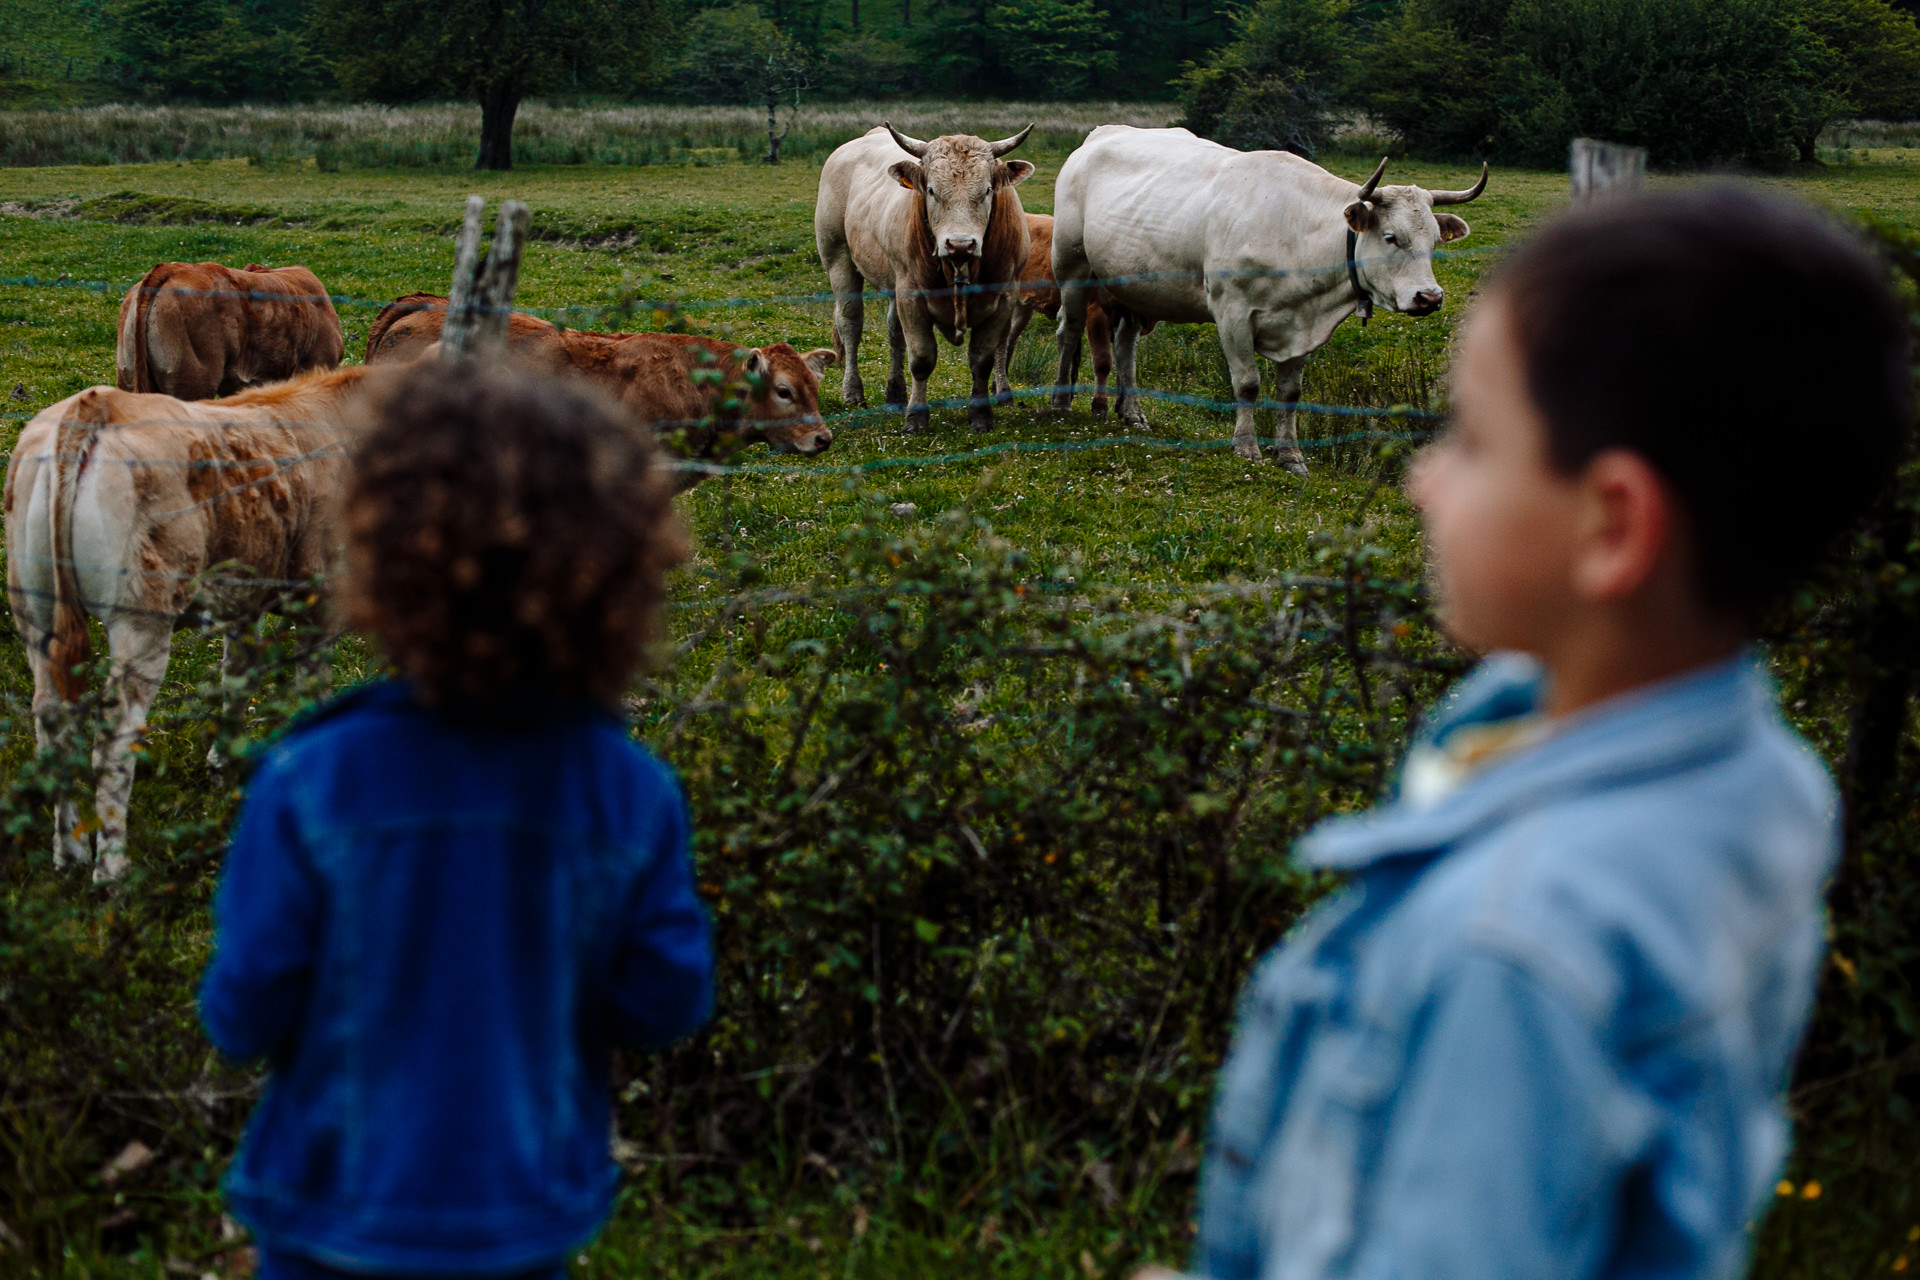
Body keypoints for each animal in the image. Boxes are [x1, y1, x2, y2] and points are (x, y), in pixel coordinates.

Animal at [6, 364, 370, 875]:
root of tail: (94, 403)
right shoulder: (324, 595)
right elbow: (312, 690)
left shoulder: (243, 598)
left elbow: (237, 676)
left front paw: (224, 761)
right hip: (143, 622)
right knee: (114, 734)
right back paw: (112, 869)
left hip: (34, 608)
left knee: (51, 717)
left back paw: (69, 853)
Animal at [1052, 126, 1482, 470]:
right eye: (1391, 237)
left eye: (1434, 241)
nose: (1429, 297)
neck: (1293, 230)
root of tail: (1100, 134)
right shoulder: (1232, 313)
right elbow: (1247, 384)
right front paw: (1246, 446)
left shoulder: (1302, 326)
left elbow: (1290, 394)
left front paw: (1290, 455)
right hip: (1071, 267)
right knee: (1069, 331)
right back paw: (1060, 403)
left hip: (1131, 285)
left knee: (1126, 347)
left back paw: (1132, 413)